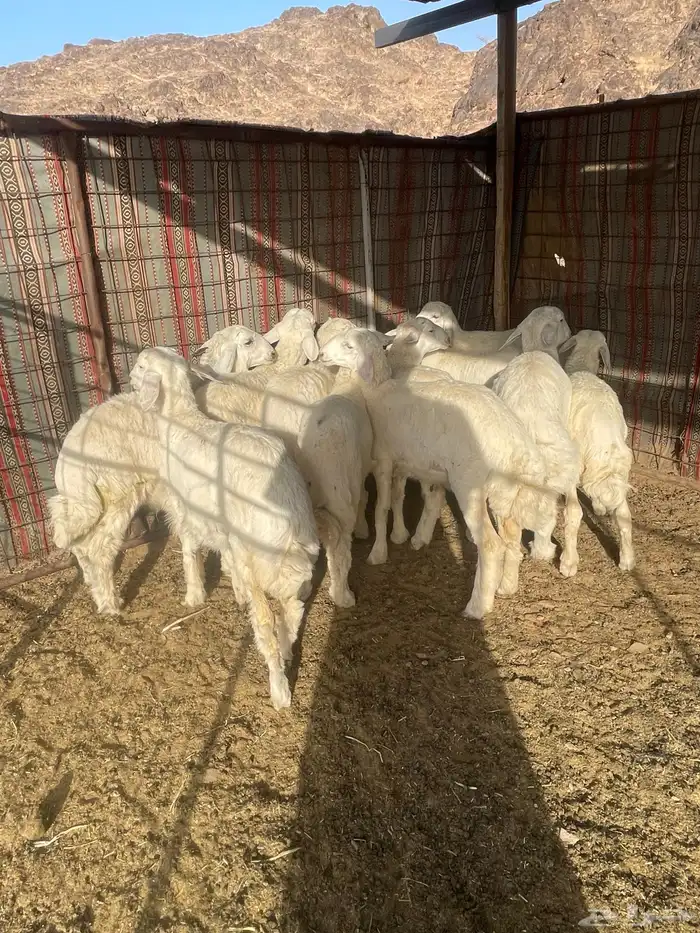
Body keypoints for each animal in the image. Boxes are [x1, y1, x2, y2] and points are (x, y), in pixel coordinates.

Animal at [47, 325, 272, 617]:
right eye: (248, 341)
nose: (273, 353)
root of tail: (72, 456)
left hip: (83, 503)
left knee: (78, 541)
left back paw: (92, 583)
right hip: (118, 496)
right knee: (99, 549)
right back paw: (110, 604)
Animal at [128, 346, 319, 709]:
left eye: (141, 366)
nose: (129, 380)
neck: (180, 419)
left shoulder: (185, 509)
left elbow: (189, 551)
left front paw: (194, 595)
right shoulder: (223, 524)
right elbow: (225, 552)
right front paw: (234, 588)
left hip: (258, 555)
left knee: (267, 622)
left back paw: (279, 689)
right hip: (289, 554)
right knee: (294, 609)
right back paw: (287, 651)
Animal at [319, 328, 557, 620]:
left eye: (349, 345)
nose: (321, 353)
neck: (376, 392)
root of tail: (514, 442)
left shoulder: (384, 460)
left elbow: (381, 508)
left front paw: (378, 553)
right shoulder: (408, 464)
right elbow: (404, 499)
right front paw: (405, 536)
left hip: (470, 484)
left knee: (491, 545)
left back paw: (477, 606)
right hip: (505, 490)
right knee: (512, 536)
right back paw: (506, 586)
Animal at [560, 330, 634, 571]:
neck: (581, 365)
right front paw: (600, 506)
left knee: (574, 513)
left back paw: (568, 562)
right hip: (621, 468)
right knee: (624, 514)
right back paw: (627, 559)